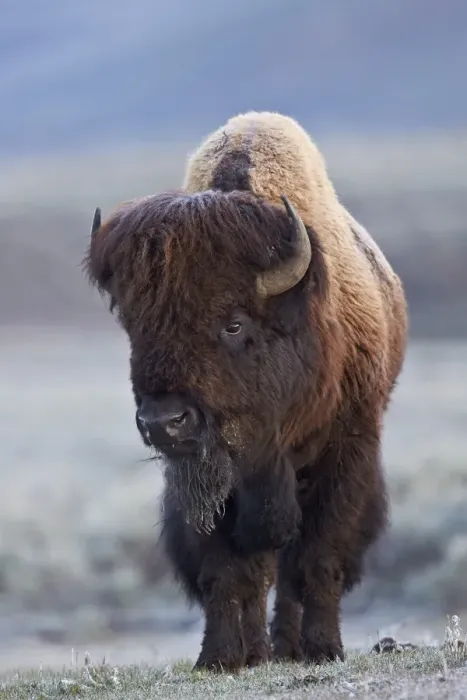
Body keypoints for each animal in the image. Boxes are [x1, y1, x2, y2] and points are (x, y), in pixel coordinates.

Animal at [84, 111, 408, 672]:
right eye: (135, 327)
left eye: (233, 324)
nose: (164, 422)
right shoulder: (209, 483)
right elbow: (228, 572)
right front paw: (218, 657)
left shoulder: (346, 450)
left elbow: (318, 556)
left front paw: (324, 649)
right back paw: (259, 650)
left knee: (295, 566)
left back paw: (292, 646)